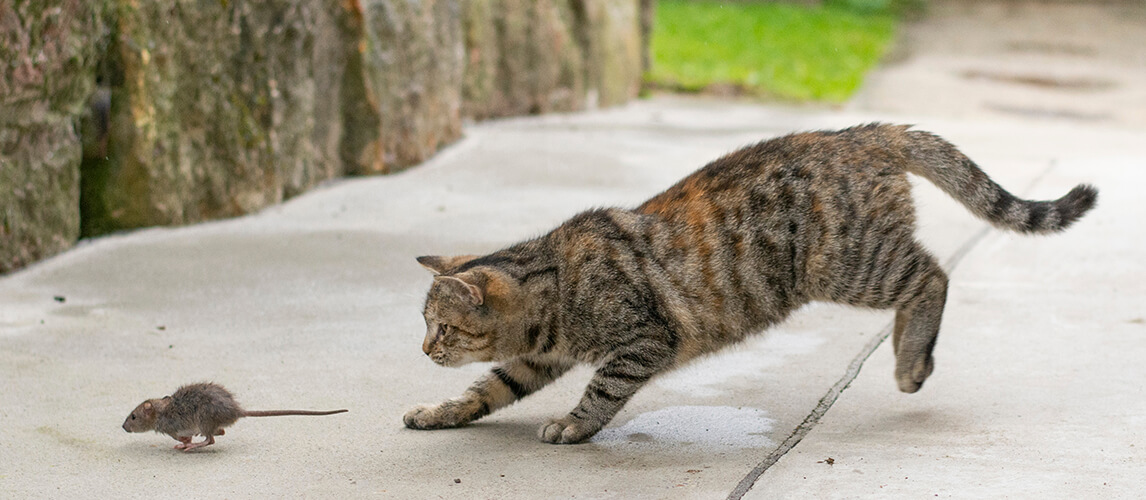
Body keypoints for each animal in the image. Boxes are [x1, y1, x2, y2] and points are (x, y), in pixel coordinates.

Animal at [401, 123, 1090, 442]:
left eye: (443, 327)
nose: (425, 349)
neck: (550, 287)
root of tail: (856, 133)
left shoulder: (643, 340)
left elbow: (600, 392)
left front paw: (572, 425)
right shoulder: (534, 361)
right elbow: (486, 389)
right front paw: (440, 411)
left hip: (850, 263)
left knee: (933, 275)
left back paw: (910, 361)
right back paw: (905, 352)